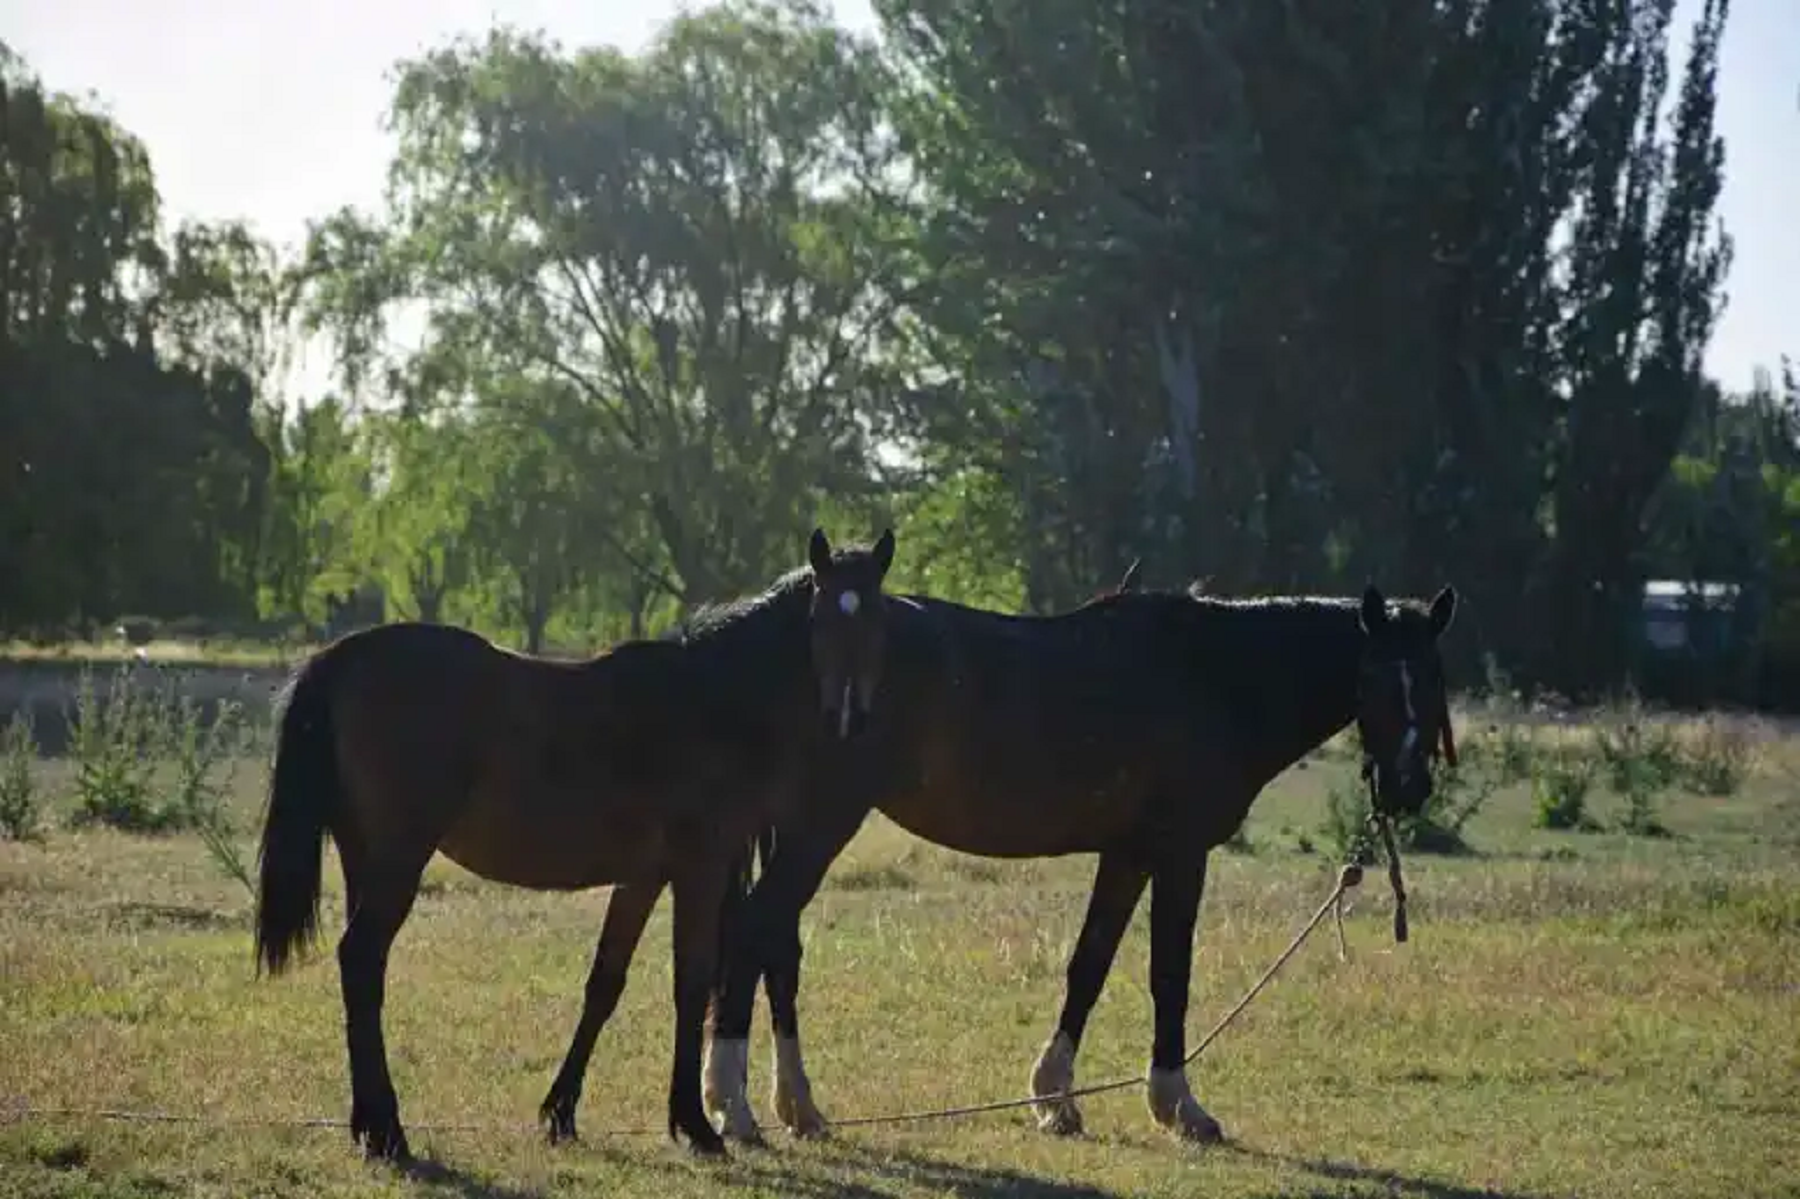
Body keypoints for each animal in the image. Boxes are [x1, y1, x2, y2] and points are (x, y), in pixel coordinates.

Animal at [253, 525, 900, 1159]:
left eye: (878, 620)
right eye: (822, 615)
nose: (849, 720)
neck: (707, 700)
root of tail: (341, 657)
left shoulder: (643, 876)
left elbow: (605, 984)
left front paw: (561, 1112)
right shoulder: (700, 869)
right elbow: (690, 981)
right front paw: (695, 1123)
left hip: (365, 859)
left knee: (365, 973)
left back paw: (371, 1124)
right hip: (397, 862)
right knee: (361, 959)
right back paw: (388, 1132)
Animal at [694, 579, 1454, 1137]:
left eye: (1435, 681)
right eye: (1377, 678)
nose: (1409, 785)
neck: (1210, 676)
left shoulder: (1127, 854)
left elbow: (1089, 965)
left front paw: (1053, 1098)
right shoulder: (1180, 854)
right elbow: (1168, 974)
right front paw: (1178, 1105)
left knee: (776, 946)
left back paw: (796, 1106)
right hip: (821, 822)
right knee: (757, 930)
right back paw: (734, 1106)